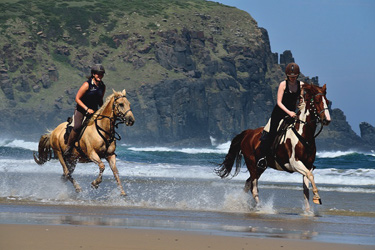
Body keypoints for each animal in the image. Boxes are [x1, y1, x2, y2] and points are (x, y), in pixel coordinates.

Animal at [217, 83, 332, 211]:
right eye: (317, 101)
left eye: (327, 101)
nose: (327, 120)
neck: (303, 135)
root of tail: (248, 133)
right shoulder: (295, 163)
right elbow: (310, 176)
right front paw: (317, 197)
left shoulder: (308, 165)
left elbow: (306, 189)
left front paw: (308, 211)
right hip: (252, 164)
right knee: (254, 187)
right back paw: (260, 207)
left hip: (261, 167)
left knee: (248, 183)